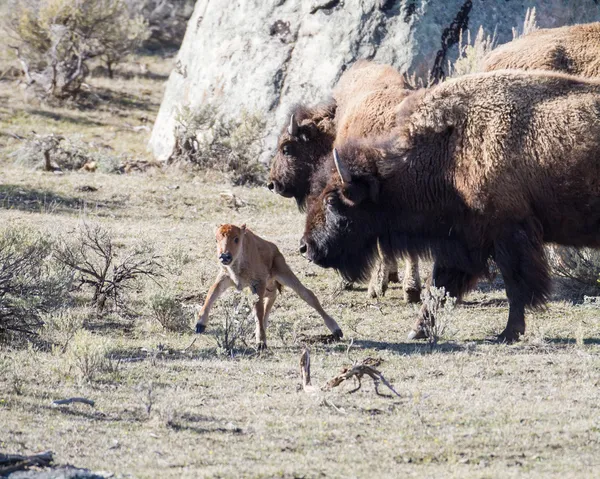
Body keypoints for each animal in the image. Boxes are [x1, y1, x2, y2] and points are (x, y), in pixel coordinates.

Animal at [195, 225, 340, 348]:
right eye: (216, 239)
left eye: (236, 239)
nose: (224, 256)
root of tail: (275, 248)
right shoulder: (226, 278)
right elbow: (212, 293)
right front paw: (200, 325)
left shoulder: (257, 284)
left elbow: (258, 310)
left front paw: (261, 342)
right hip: (268, 286)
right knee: (271, 299)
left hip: (283, 273)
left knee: (307, 294)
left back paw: (337, 330)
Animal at [302, 69, 600, 344]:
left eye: (332, 200)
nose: (305, 246)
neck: (450, 154)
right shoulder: (463, 240)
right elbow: (440, 287)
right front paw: (417, 331)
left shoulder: (508, 235)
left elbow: (515, 288)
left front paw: (508, 333)